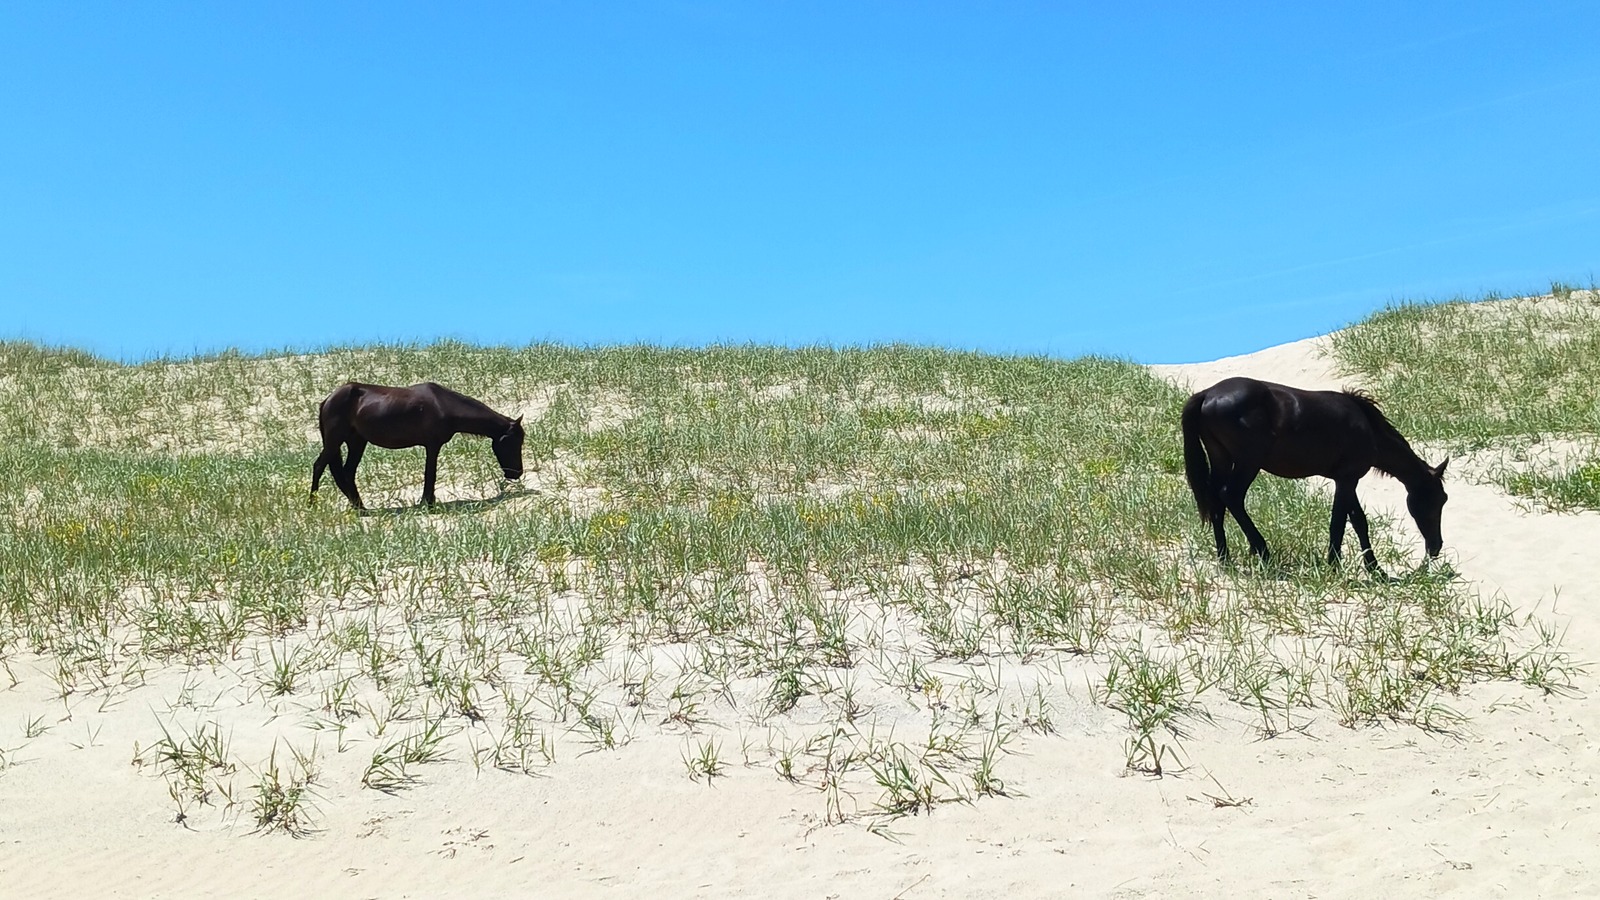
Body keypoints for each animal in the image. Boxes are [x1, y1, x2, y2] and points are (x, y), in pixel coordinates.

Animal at [310, 382, 524, 511]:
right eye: (514, 442)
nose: (517, 473)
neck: (444, 405)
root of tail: (327, 400)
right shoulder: (432, 445)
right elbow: (430, 474)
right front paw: (427, 503)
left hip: (357, 442)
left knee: (347, 473)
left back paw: (360, 508)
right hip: (335, 441)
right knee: (319, 466)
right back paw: (313, 504)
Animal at [1180, 376, 1448, 575]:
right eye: (1438, 500)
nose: (1436, 547)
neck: (1368, 429)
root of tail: (1208, 394)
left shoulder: (1345, 480)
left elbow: (1358, 522)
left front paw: (1375, 569)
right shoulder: (1347, 479)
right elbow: (1339, 522)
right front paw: (1335, 565)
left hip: (1222, 460)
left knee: (1217, 502)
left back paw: (1224, 558)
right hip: (1248, 463)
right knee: (1231, 497)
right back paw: (1263, 551)